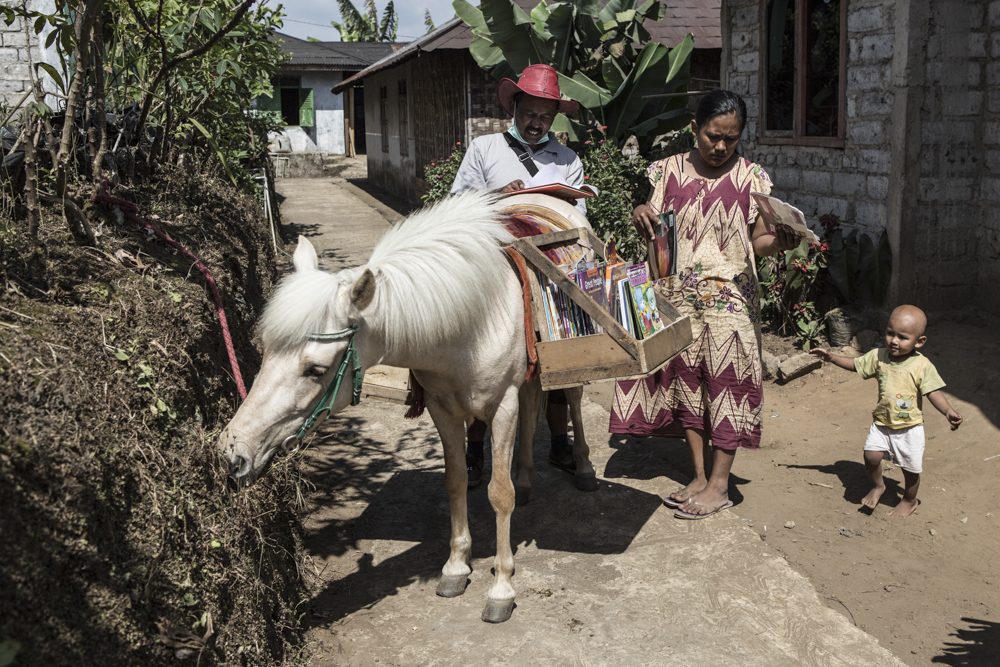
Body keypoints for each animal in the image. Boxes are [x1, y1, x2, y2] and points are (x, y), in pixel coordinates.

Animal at [218, 190, 592, 624]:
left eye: (316, 369)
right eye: (264, 352)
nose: (232, 451)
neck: (471, 322)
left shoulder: (502, 405)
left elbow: (500, 494)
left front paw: (501, 588)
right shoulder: (442, 408)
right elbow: (455, 481)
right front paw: (456, 567)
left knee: (573, 402)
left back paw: (583, 467)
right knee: (533, 410)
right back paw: (528, 479)